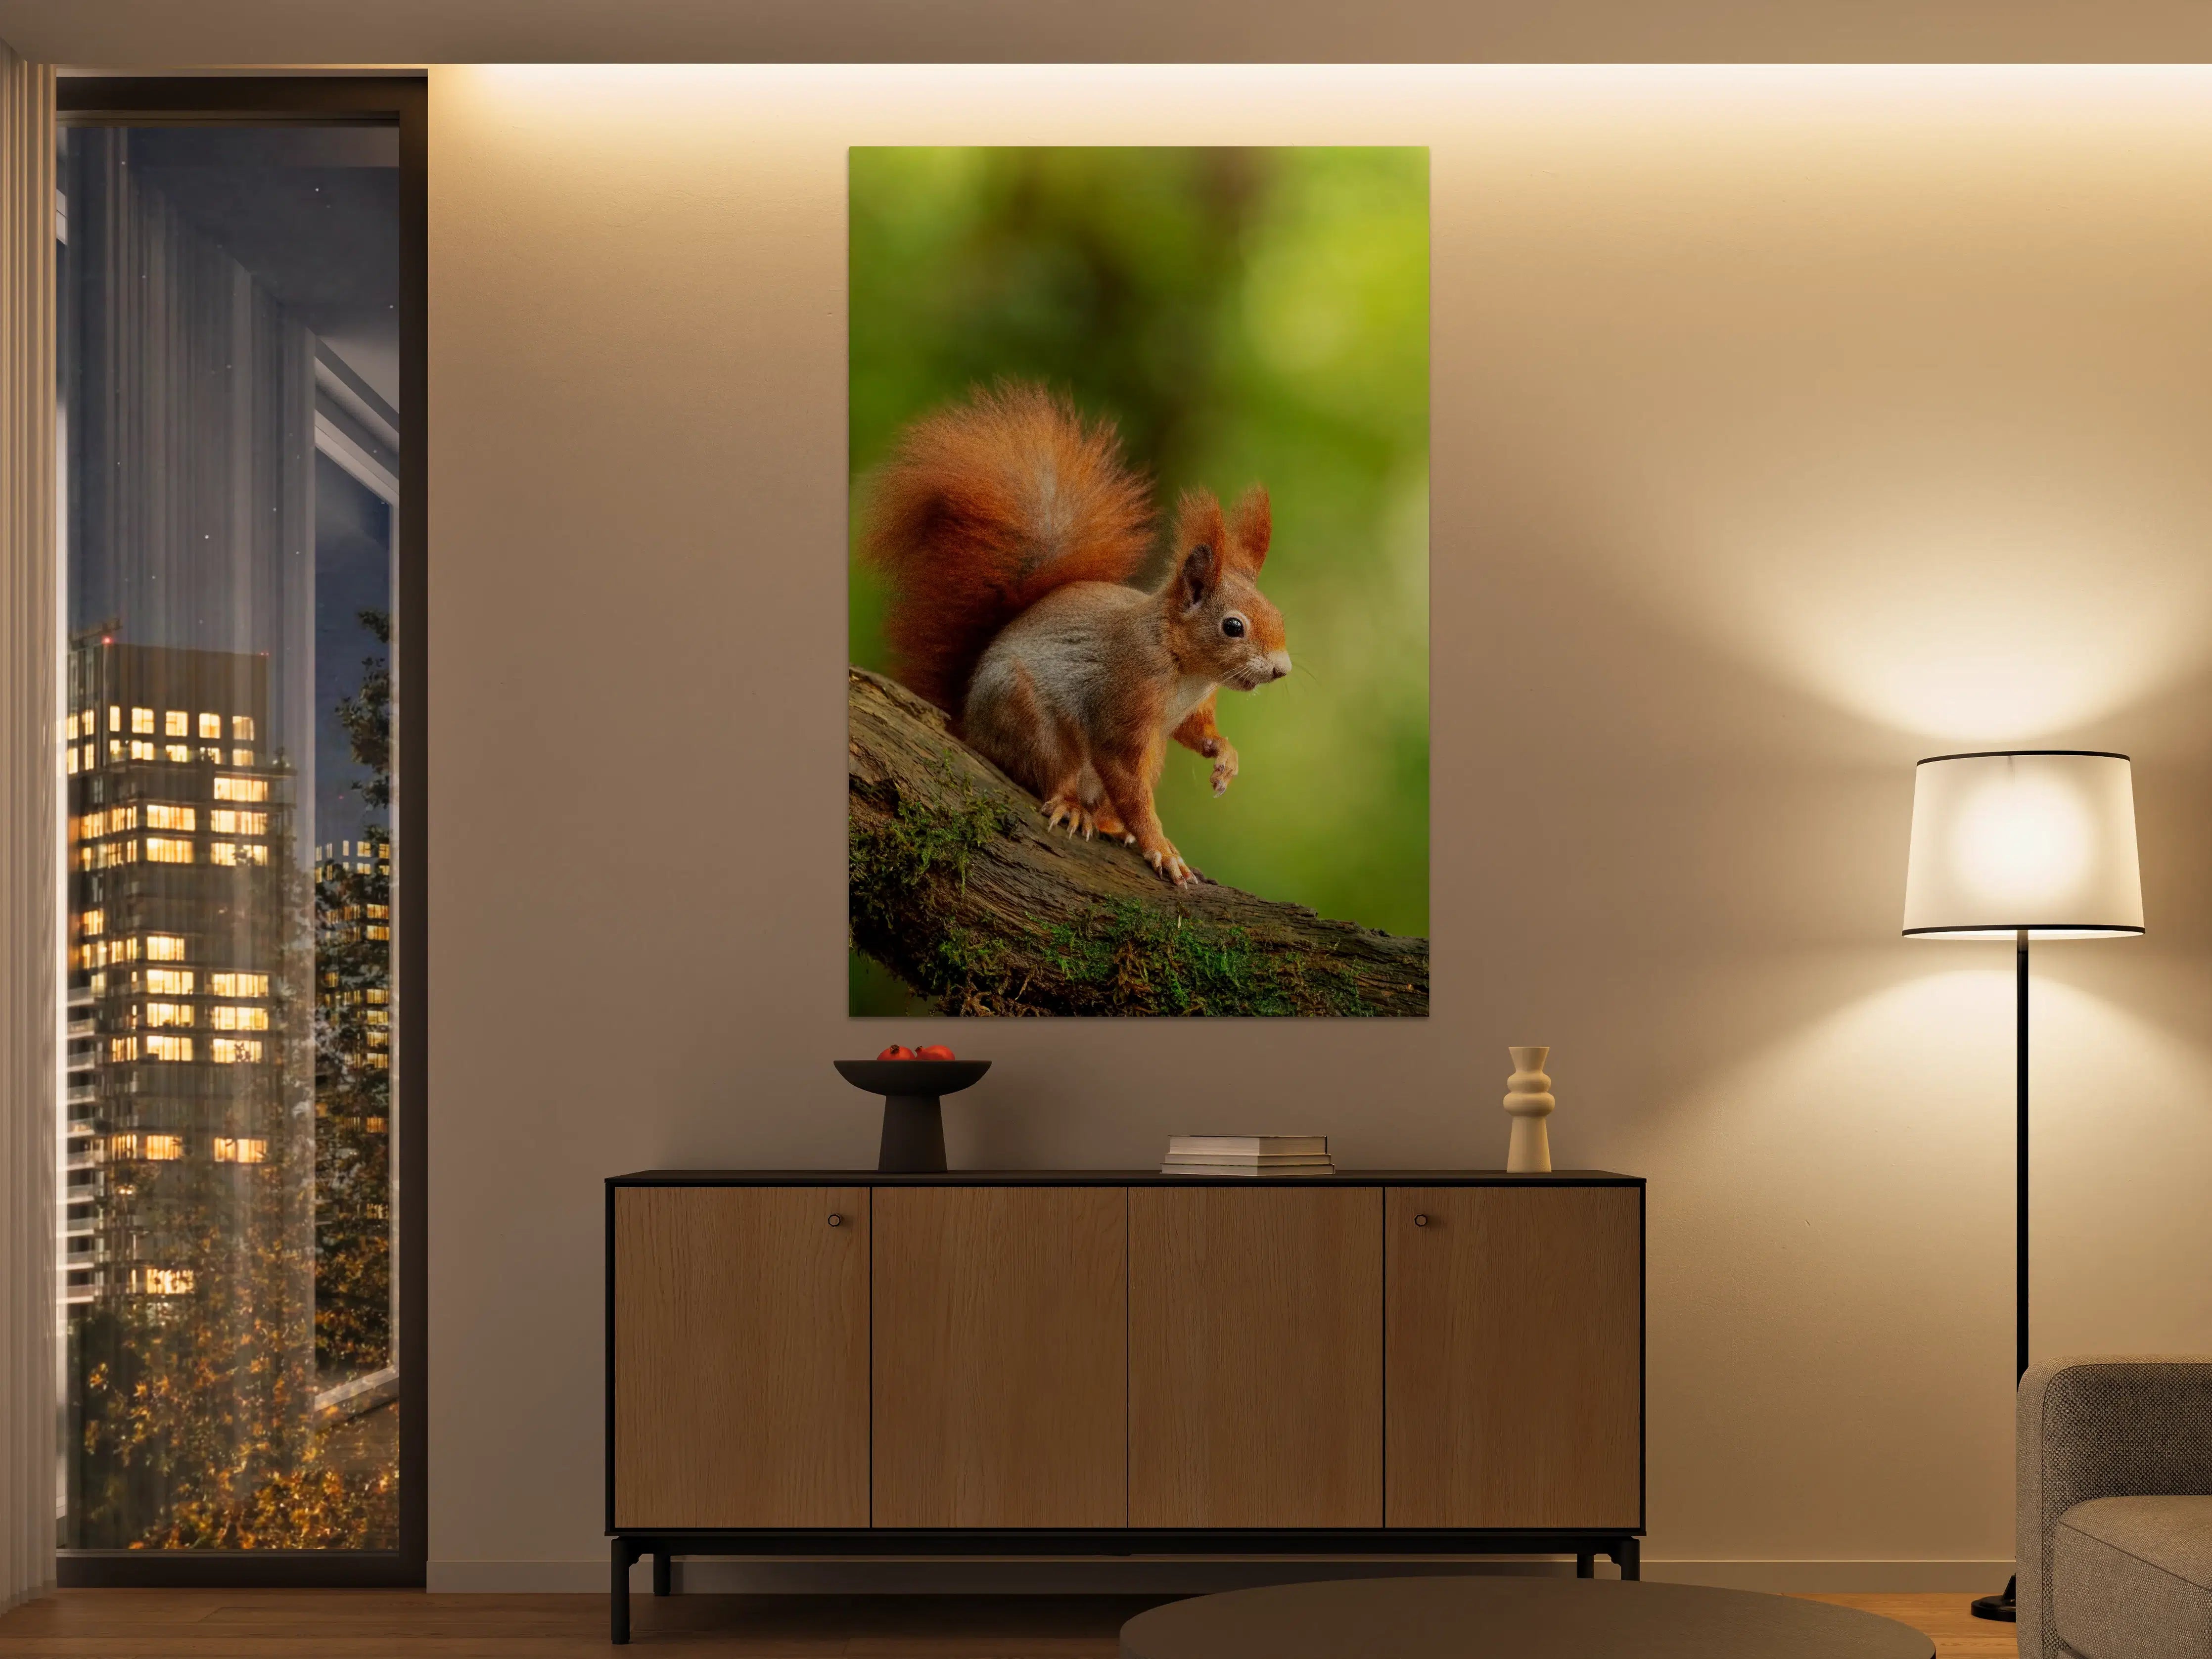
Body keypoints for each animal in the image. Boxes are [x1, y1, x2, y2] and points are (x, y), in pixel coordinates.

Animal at [863, 382, 1292, 887]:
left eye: (1279, 615)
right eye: (1233, 627)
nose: (1282, 669)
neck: (1184, 668)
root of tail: (966, 723)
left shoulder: (1190, 710)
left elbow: (1195, 732)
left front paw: (1225, 756)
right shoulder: (1124, 701)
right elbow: (1127, 781)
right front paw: (1160, 846)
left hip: (1150, 755)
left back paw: (1107, 823)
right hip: (1027, 718)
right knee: (1050, 775)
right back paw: (1072, 807)